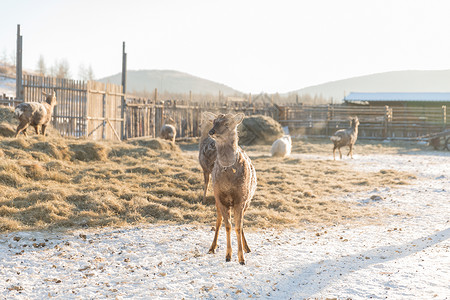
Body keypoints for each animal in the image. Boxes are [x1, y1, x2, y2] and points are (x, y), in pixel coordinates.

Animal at [204, 112, 256, 264]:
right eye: (213, 122)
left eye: (227, 124)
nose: (211, 131)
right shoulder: (220, 198)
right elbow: (228, 226)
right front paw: (228, 256)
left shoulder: (241, 198)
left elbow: (238, 227)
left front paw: (241, 258)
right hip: (217, 200)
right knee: (219, 221)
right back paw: (212, 247)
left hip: (248, 201)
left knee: (242, 223)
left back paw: (247, 247)